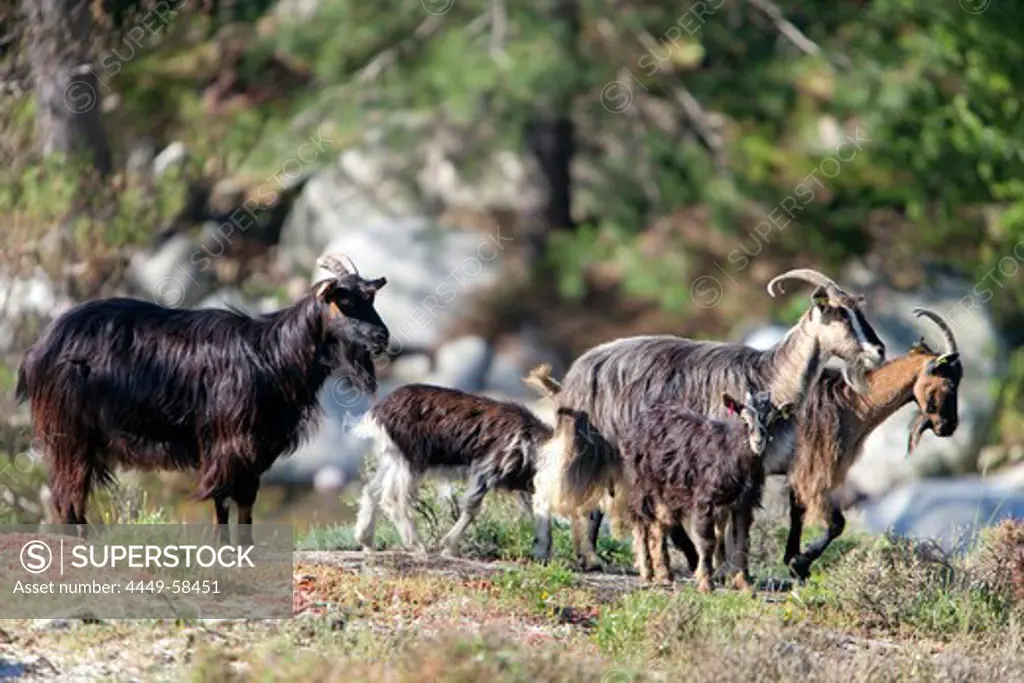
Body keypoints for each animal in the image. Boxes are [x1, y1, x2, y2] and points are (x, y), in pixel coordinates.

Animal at [16, 252, 391, 544]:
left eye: (371, 299)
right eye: (344, 300)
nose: (382, 337)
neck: (269, 356)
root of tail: (38, 349)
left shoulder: (255, 448)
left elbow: (246, 500)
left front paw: (246, 547)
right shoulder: (226, 442)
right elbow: (222, 499)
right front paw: (223, 547)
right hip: (69, 431)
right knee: (68, 493)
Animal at [354, 376, 561, 557]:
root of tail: (377, 412)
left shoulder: (525, 485)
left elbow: (540, 513)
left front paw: (543, 552)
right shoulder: (486, 470)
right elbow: (471, 508)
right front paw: (449, 547)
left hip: (393, 459)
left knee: (371, 490)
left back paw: (366, 541)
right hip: (411, 460)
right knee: (393, 497)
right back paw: (417, 545)